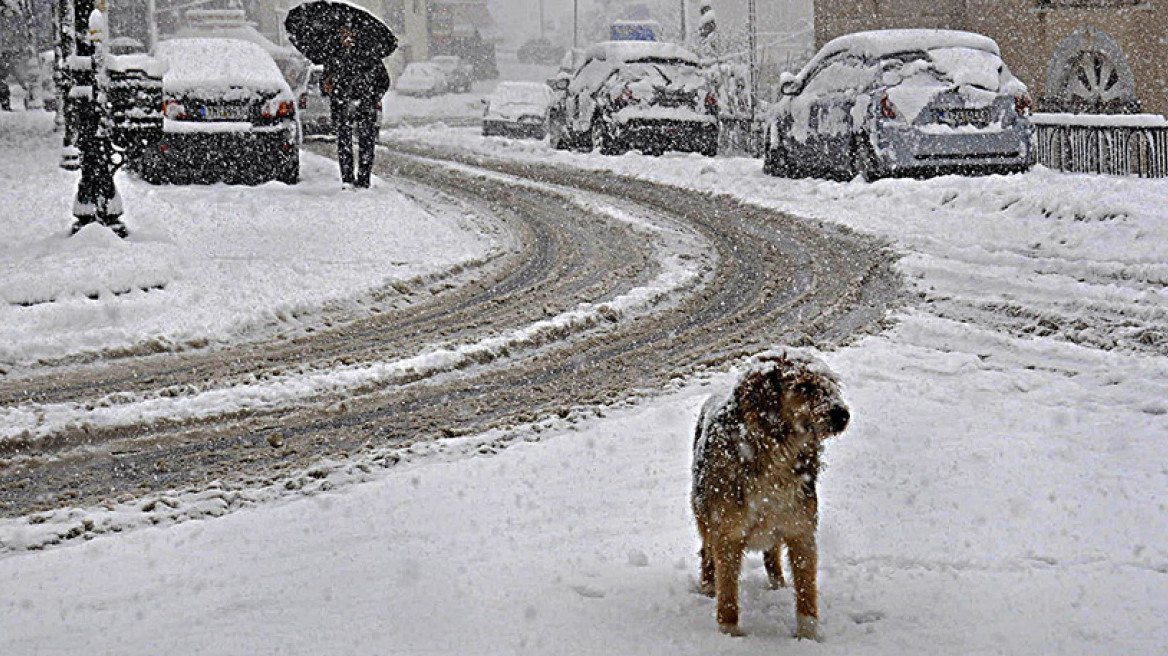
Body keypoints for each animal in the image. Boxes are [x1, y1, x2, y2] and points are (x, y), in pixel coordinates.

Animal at [691, 350, 850, 634]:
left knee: (772, 555)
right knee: (706, 551)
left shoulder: (801, 531)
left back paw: (778, 585)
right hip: (705, 517)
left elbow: (806, 591)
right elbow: (728, 593)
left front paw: (807, 636)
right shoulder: (727, 535)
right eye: (804, 387)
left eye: (830, 384)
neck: (775, 455)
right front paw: (729, 633)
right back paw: (709, 586)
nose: (843, 415)